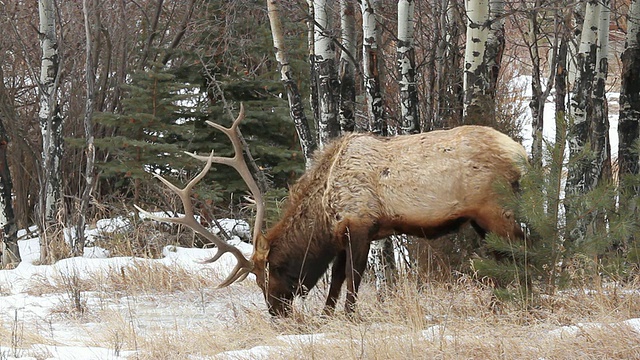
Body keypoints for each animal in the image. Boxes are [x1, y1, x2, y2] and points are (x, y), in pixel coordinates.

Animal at [134, 105, 524, 316]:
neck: (323, 206)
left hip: (496, 211)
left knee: (519, 250)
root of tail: (522, 154)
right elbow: (336, 278)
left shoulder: (362, 224)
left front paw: (349, 316)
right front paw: (326, 316)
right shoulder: (343, 234)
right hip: (483, 220)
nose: (277, 313)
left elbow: (353, 278)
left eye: (271, 272)